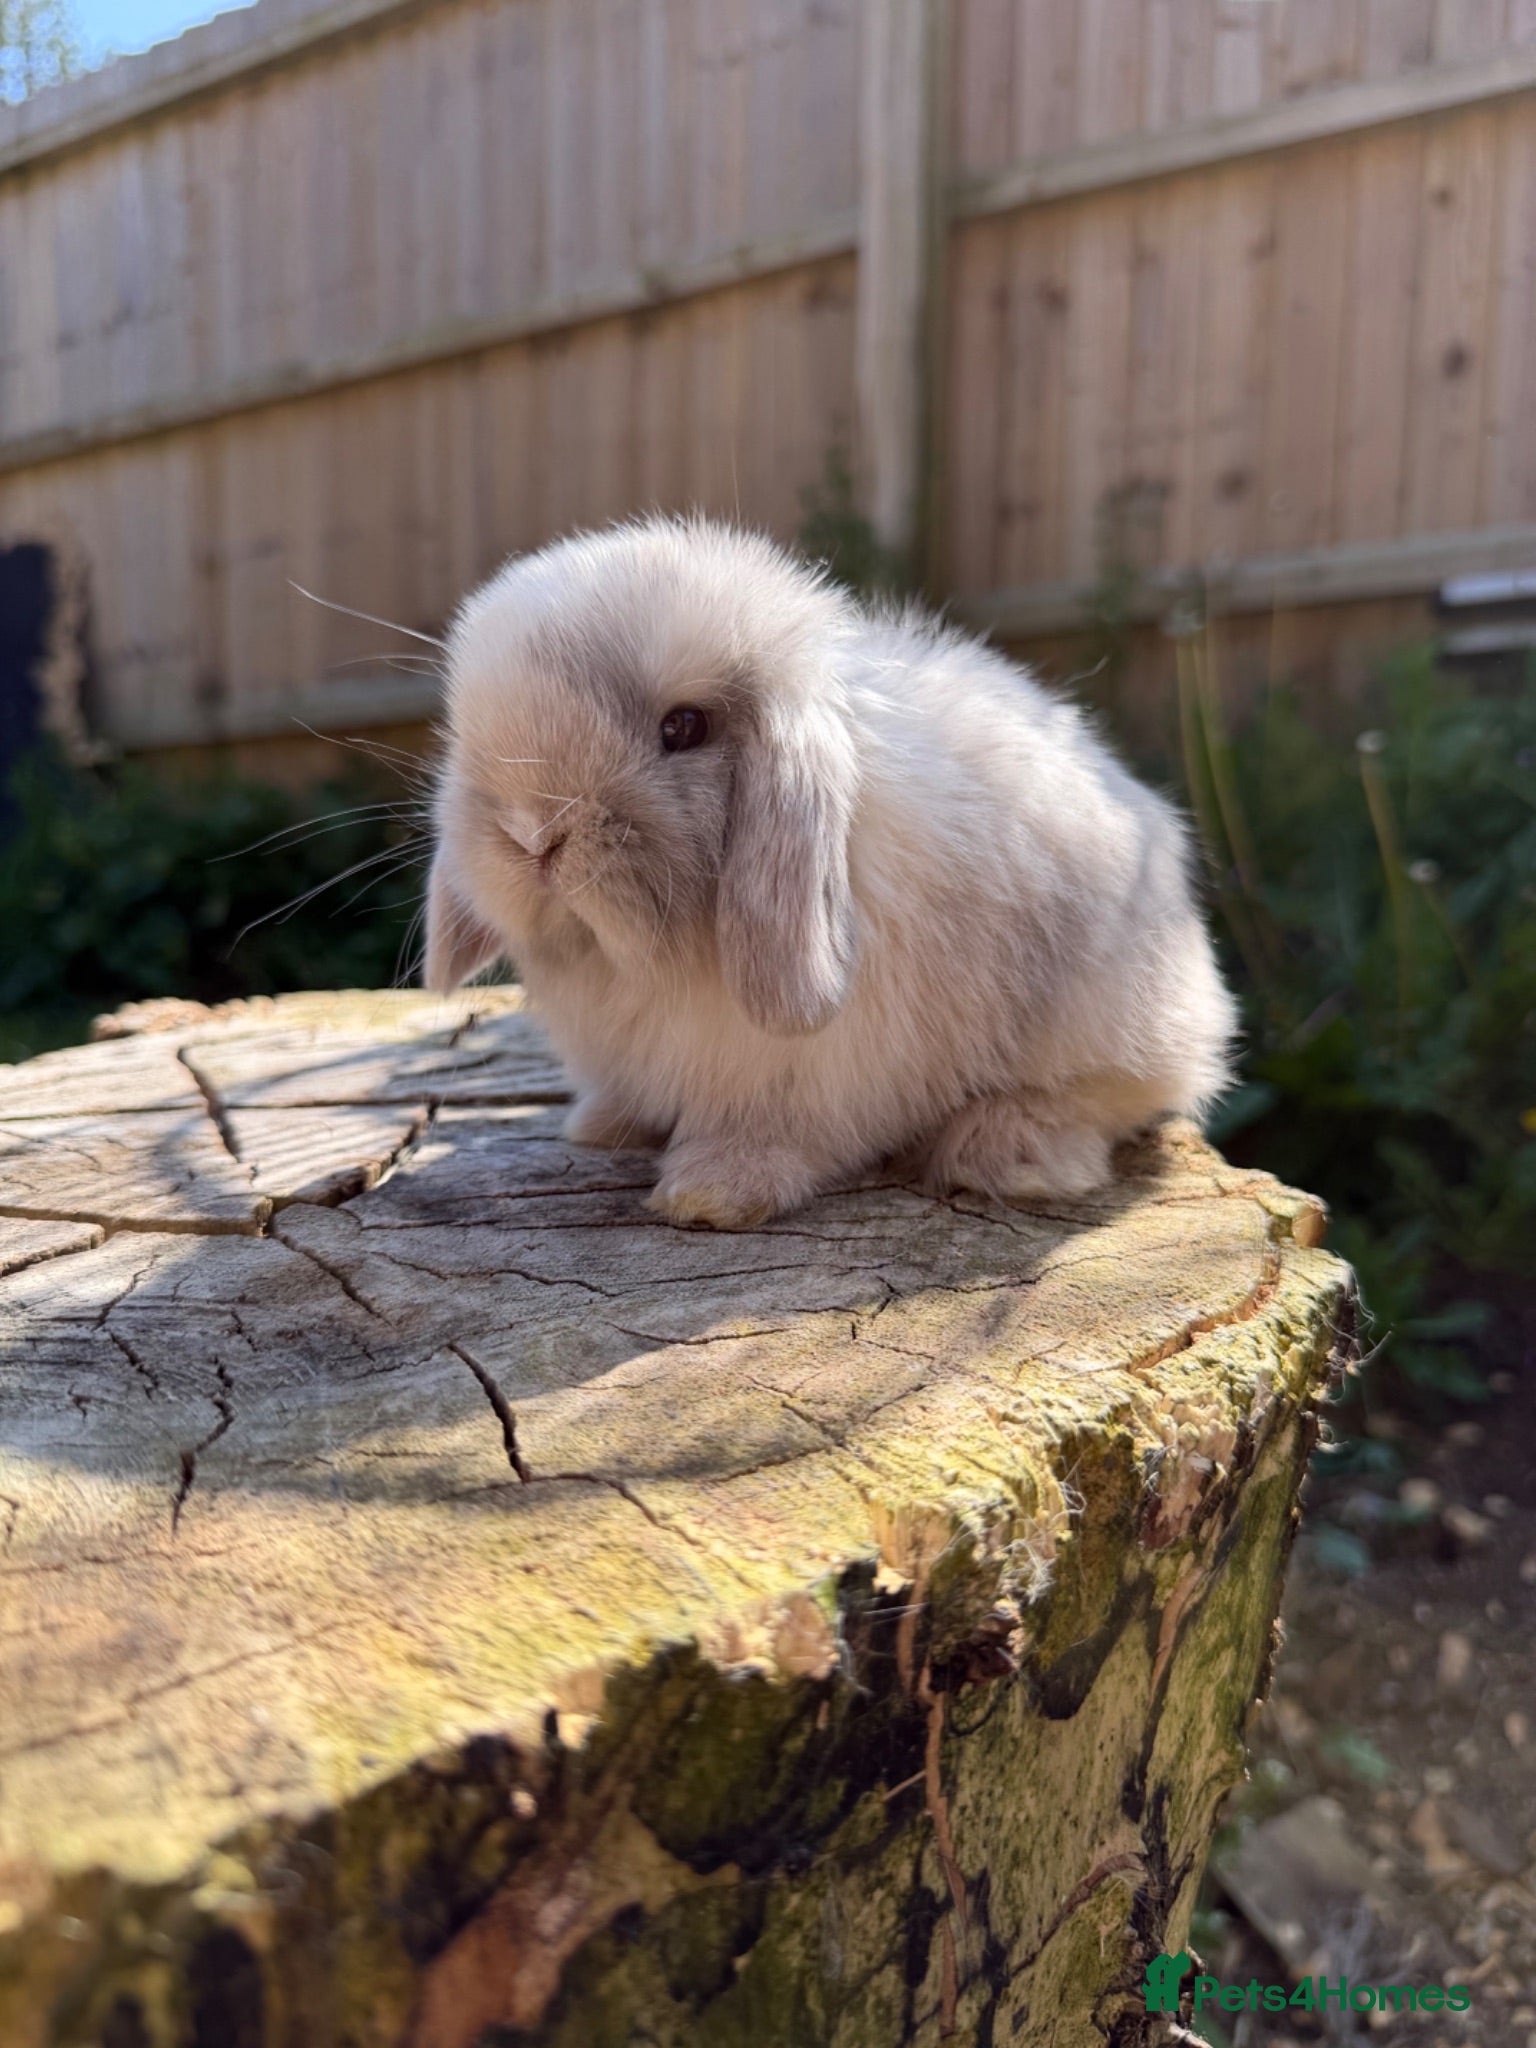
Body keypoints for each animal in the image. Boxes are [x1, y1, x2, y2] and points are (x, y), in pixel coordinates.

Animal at [423, 514, 1236, 1229]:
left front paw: (712, 1193)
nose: (531, 833)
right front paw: (602, 1125)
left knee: (1105, 1099)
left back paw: (1011, 1155)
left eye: (683, 728)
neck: (641, 965)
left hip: (1108, 1027)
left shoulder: (810, 1074)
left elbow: (777, 1132)